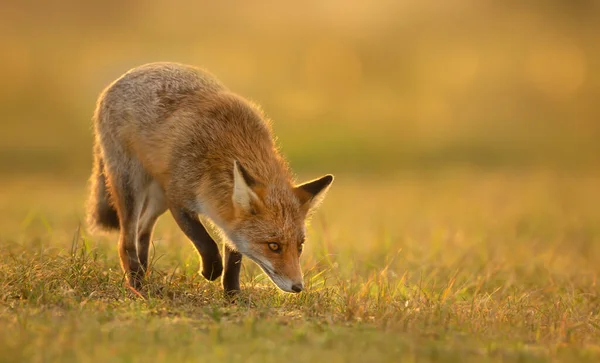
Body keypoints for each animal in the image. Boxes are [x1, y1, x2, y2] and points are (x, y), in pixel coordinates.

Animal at [86, 62, 332, 296]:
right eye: (273, 246)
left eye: (299, 246)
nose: (298, 287)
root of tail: (122, 78)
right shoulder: (179, 200)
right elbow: (206, 242)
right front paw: (211, 271)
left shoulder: (228, 216)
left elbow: (233, 259)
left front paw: (232, 295)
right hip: (132, 185)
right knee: (125, 241)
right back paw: (137, 283)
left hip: (159, 196)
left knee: (142, 230)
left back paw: (144, 272)